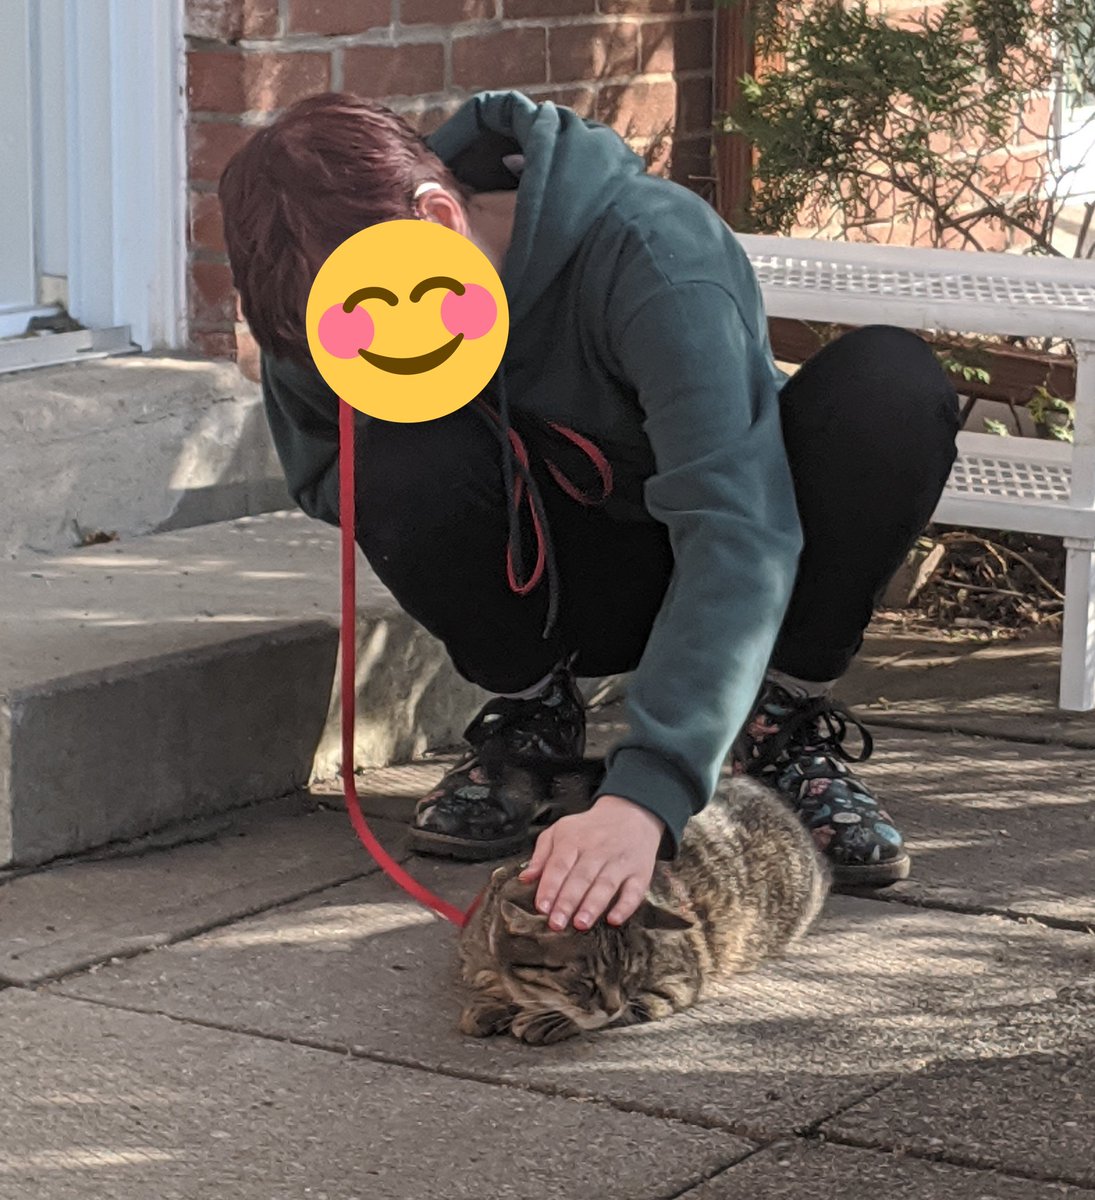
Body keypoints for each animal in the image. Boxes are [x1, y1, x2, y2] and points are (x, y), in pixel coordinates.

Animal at [458, 763, 826, 1046]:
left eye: (630, 977)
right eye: (586, 980)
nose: (611, 1004)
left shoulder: (673, 984)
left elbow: (619, 1011)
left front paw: (547, 1019)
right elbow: (485, 976)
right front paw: (491, 1002)